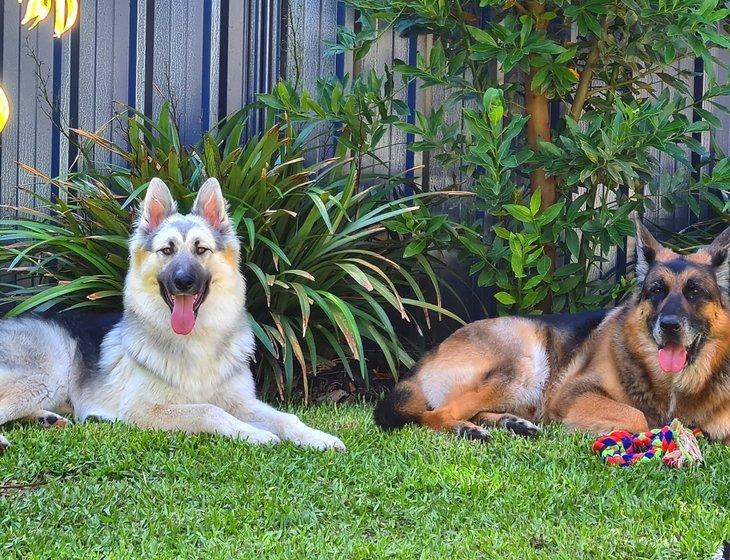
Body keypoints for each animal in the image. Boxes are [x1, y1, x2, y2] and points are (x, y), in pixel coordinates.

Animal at [0, 177, 346, 452]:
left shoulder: (243, 402)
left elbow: (286, 417)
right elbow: (207, 410)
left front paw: (317, 437)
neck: (196, 343)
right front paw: (254, 434)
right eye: (167, 250)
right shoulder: (145, 410)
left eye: (201, 249)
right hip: (43, 378)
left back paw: (47, 419)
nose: (183, 281)